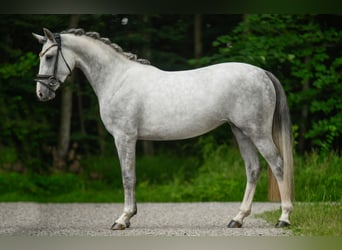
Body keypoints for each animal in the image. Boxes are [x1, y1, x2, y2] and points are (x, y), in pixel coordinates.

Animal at [32, 28, 294, 229]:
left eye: (50, 56)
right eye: (41, 55)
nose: (41, 93)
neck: (118, 79)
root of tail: (262, 73)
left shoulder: (124, 138)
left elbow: (127, 177)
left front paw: (123, 219)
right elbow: (131, 176)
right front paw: (129, 217)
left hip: (257, 132)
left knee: (278, 165)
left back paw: (284, 218)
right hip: (241, 132)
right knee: (253, 169)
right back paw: (237, 218)